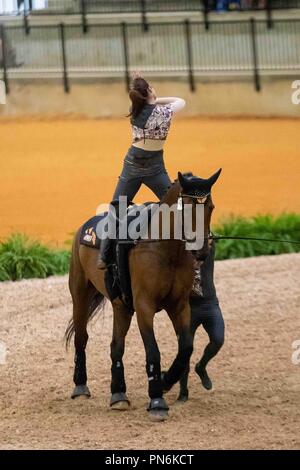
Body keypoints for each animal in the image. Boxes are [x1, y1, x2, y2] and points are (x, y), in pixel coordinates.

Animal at [65, 169, 220, 422]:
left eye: (210, 207)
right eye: (185, 207)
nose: (201, 250)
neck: (165, 249)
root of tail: (85, 228)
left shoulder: (179, 306)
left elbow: (186, 348)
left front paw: (166, 381)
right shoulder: (144, 307)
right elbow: (153, 352)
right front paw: (157, 401)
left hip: (121, 307)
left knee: (116, 346)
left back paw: (118, 395)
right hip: (80, 295)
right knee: (81, 338)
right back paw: (80, 387)